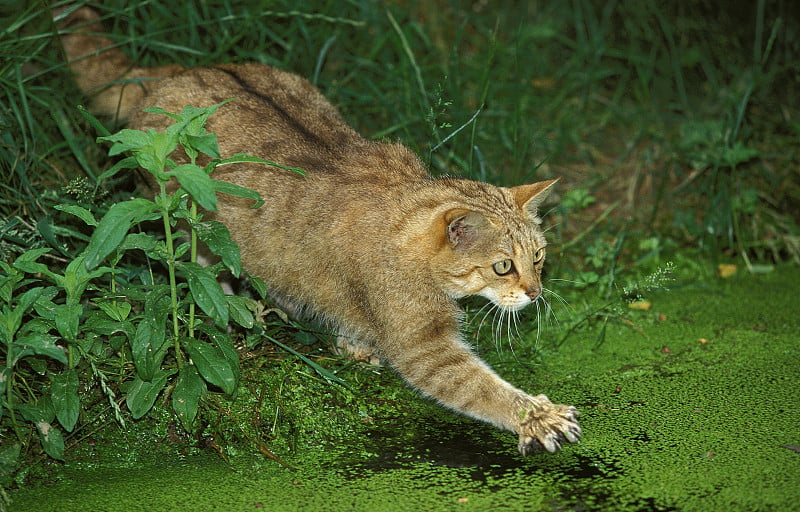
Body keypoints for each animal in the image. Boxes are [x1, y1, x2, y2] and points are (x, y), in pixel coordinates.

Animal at [57, 3, 580, 452]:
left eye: (538, 258)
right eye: (503, 267)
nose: (536, 293)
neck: (407, 205)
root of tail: (179, 72)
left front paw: (355, 343)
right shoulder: (425, 347)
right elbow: (482, 387)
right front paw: (535, 416)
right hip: (188, 222)